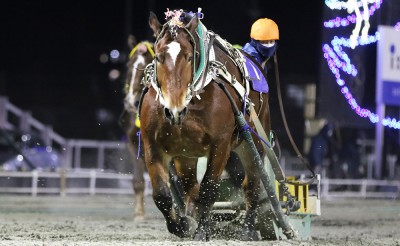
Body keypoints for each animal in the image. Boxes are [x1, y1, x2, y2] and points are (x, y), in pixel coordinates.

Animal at [140, 10, 272, 241]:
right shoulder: (152, 145)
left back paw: (248, 229)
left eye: (189, 56)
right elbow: (162, 195)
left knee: (252, 184)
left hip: (252, 142)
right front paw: (183, 225)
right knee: (190, 188)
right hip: (186, 155)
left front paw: (202, 230)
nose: (174, 110)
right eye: (158, 57)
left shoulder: (221, 145)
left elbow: (209, 188)